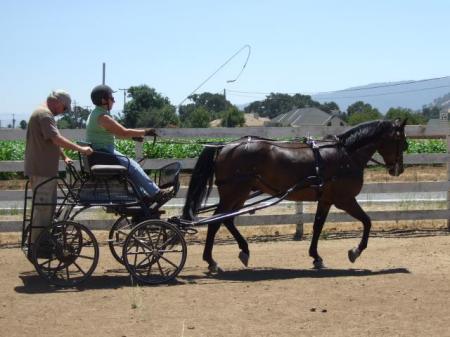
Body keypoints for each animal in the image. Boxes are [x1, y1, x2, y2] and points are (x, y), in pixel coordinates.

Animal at [182, 119, 408, 272]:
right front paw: (355, 251)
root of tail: (224, 146)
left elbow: (318, 227)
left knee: (227, 220)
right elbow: (367, 221)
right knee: (215, 222)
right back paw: (211, 261)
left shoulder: (326, 200)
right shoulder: (345, 200)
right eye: (401, 140)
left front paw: (316, 257)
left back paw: (243, 250)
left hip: (240, 193)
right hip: (234, 192)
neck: (345, 155)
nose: (398, 169)